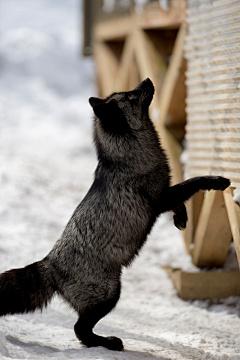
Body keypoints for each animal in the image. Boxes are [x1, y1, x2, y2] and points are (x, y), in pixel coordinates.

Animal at [0, 77, 230, 350]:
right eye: (130, 97)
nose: (148, 80)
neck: (125, 156)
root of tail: (50, 264)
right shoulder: (159, 198)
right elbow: (191, 183)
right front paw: (216, 181)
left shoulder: (165, 195)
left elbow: (181, 199)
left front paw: (181, 219)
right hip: (110, 292)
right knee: (79, 329)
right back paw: (106, 342)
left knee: (80, 328)